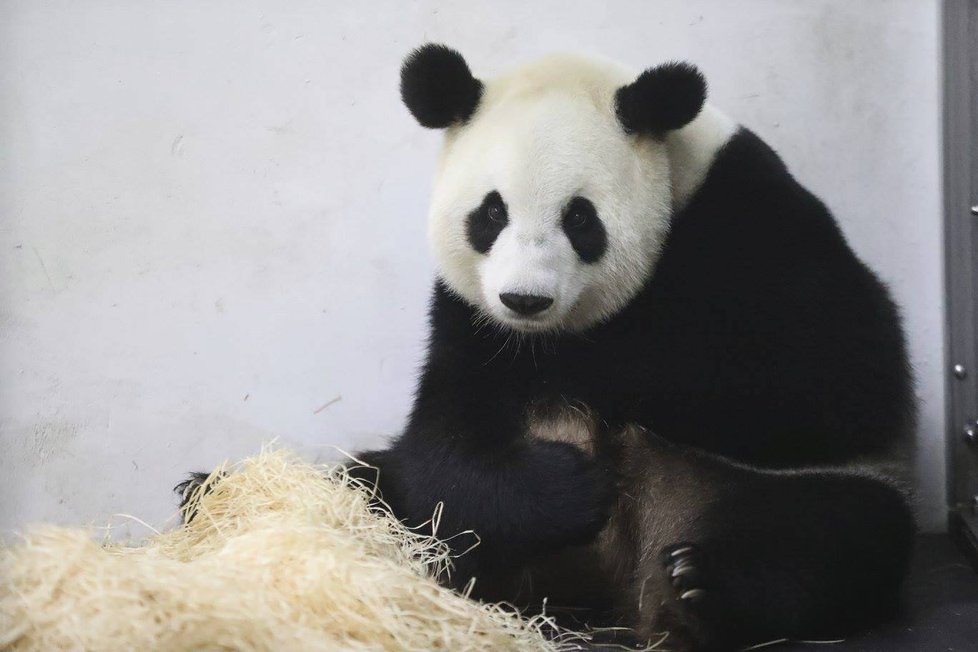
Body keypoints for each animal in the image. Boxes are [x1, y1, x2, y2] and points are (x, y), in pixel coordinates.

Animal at [350, 43, 916, 648]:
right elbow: (445, 446)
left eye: (579, 217)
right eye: (492, 212)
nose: (525, 300)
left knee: (829, 536)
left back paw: (702, 588)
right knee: (373, 480)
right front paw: (573, 484)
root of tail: (617, 581)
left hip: (784, 484)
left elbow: (835, 369)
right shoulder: (468, 317)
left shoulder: (756, 215)